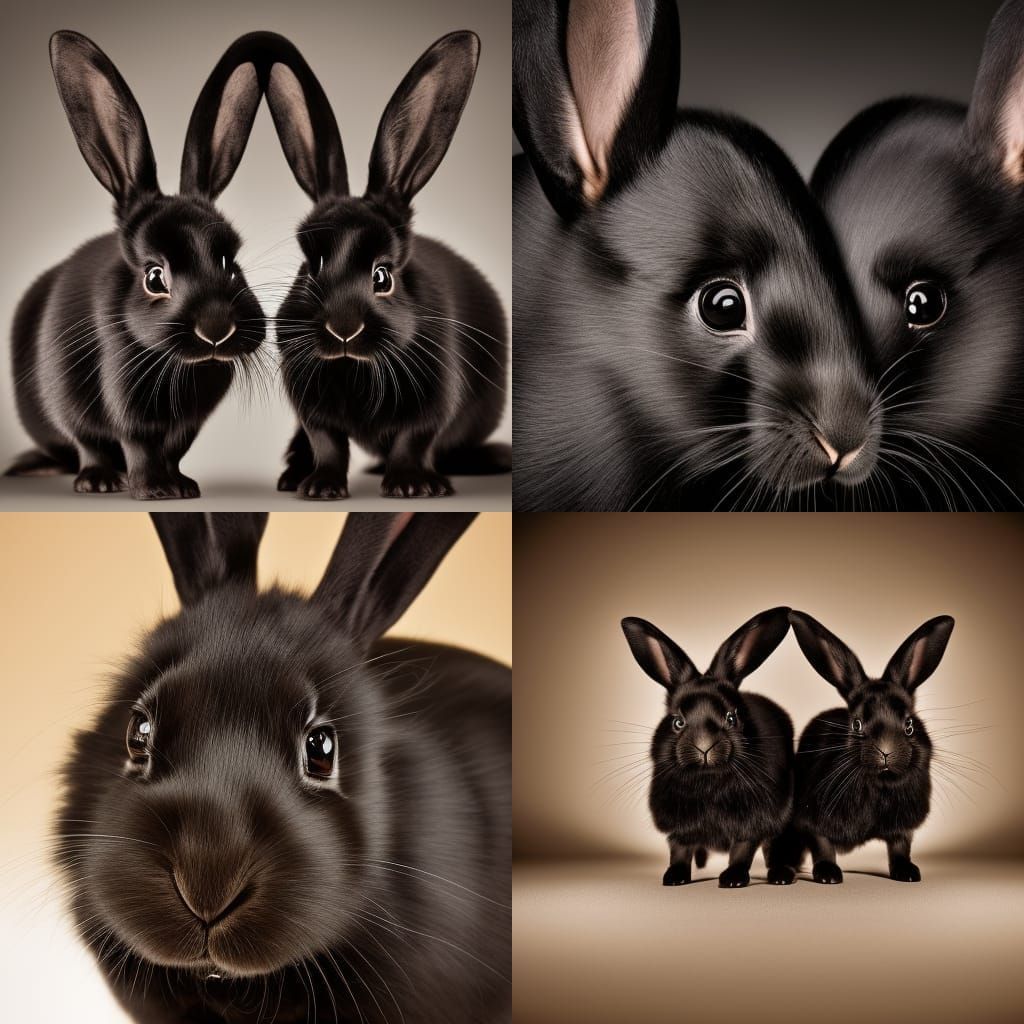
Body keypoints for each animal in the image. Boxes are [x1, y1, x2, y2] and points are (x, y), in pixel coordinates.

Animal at [4, 31, 267, 499]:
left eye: (231, 262)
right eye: (154, 277)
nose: (216, 329)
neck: (180, 364)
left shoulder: (189, 422)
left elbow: (175, 448)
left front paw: (183, 487)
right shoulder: (125, 402)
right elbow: (139, 443)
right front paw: (153, 491)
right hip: (67, 400)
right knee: (88, 444)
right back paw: (99, 481)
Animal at [256, 32, 509, 500]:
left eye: (383, 276)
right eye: (309, 267)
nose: (343, 329)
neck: (354, 365)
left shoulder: (433, 402)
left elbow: (415, 438)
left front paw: (411, 486)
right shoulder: (311, 410)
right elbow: (327, 443)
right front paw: (321, 488)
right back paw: (294, 476)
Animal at [620, 608, 797, 887]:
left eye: (732, 718)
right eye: (677, 722)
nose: (704, 746)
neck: (708, 779)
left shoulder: (753, 820)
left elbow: (742, 850)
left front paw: (733, 880)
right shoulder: (679, 828)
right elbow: (679, 851)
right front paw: (674, 878)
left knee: (773, 848)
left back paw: (781, 876)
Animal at [783, 610, 954, 883]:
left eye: (909, 724)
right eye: (857, 724)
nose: (886, 750)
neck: (880, 783)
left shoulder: (902, 828)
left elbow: (900, 847)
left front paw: (907, 873)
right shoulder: (812, 821)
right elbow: (822, 845)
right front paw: (828, 875)